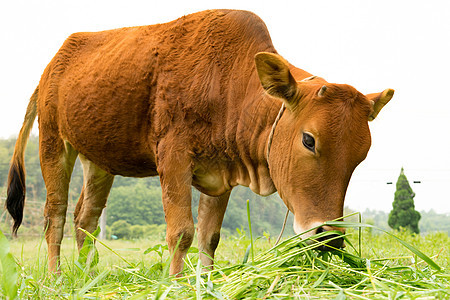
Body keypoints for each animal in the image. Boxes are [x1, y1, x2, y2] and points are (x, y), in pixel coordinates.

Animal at [7, 9, 394, 276]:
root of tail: (52, 66)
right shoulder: (174, 157)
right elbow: (181, 232)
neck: (230, 85)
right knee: (54, 216)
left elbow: (210, 237)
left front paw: (204, 282)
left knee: (85, 220)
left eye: (361, 156)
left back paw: (88, 278)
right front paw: (177, 283)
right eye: (309, 140)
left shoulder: (221, 174)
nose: (329, 237)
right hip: (54, 143)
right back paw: (56, 278)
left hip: (99, 161)